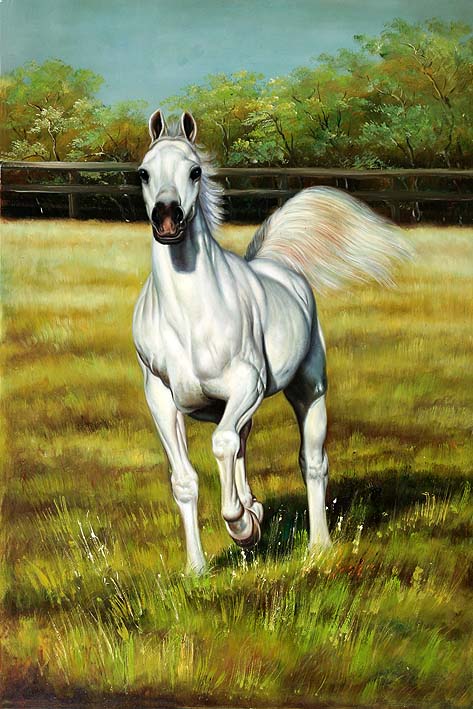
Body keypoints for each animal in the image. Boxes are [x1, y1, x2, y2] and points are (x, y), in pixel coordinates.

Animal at [132, 110, 409, 574]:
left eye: (194, 171)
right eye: (144, 172)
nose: (167, 217)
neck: (190, 316)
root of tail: (278, 267)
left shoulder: (247, 384)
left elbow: (222, 445)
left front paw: (242, 527)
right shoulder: (161, 397)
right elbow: (186, 480)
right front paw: (198, 567)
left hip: (308, 390)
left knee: (310, 463)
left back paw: (318, 547)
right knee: (242, 444)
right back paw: (256, 511)